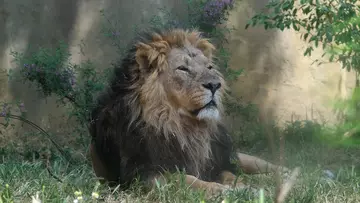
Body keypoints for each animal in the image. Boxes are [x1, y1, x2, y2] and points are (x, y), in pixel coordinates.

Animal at [90, 27, 290, 197]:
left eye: (209, 67)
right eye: (183, 69)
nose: (215, 85)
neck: (183, 128)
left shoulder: (215, 164)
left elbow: (230, 175)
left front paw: (243, 187)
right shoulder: (141, 175)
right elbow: (185, 179)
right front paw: (222, 190)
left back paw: (285, 174)